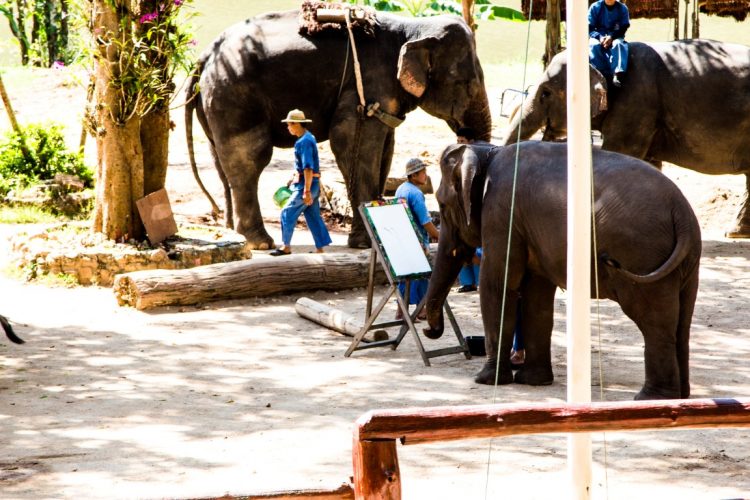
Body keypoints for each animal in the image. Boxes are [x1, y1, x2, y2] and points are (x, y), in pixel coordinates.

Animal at [185, 7, 491, 249]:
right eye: (467, 85)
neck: (413, 27)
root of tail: (204, 56)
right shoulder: (366, 85)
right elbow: (349, 140)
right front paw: (367, 243)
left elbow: (385, 148)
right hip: (234, 95)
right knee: (249, 158)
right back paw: (259, 243)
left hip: (215, 103)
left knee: (221, 160)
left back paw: (232, 232)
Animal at [422, 141, 702, 400]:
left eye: (442, 205)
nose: (428, 330)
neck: (487, 151)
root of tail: (682, 214)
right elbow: (537, 297)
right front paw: (533, 382)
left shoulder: (501, 213)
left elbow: (498, 285)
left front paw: (486, 380)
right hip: (685, 262)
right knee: (681, 322)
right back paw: (680, 396)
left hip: (641, 254)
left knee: (652, 321)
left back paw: (651, 398)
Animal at [500, 39, 750, 238]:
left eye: (546, 93)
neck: (601, 61)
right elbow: (648, 163)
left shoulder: (635, 104)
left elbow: (621, 152)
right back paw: (737, 232)